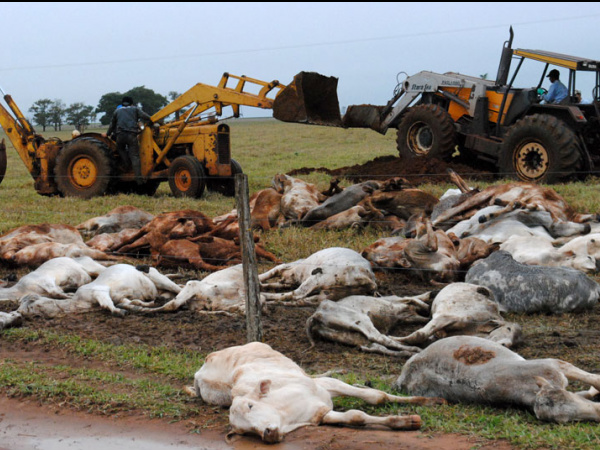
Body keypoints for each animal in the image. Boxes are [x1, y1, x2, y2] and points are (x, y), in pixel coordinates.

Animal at [192, 342, 446, 442]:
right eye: (245, 432)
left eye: (250, 405)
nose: (267, 433)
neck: (286, 413)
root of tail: (201, 368)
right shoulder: (321, 413)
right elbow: (356, 416)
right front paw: (405, 421)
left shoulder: (324, 386)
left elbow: (376, 396)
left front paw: (429, 401)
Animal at [304, 294, 432, 356]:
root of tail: (316, 314)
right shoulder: (397, 301)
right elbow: (413, 299)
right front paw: (427, 305)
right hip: (361, 319)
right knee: (380, 338)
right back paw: (415, 348)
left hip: (351, 336)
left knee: (379, 347)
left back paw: (409, 352)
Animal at [396, 284, 524, 350]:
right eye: (508, 329)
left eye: (516, 342)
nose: (506, 345)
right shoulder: (444, 317)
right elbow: (419, 335)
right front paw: (397, 340)